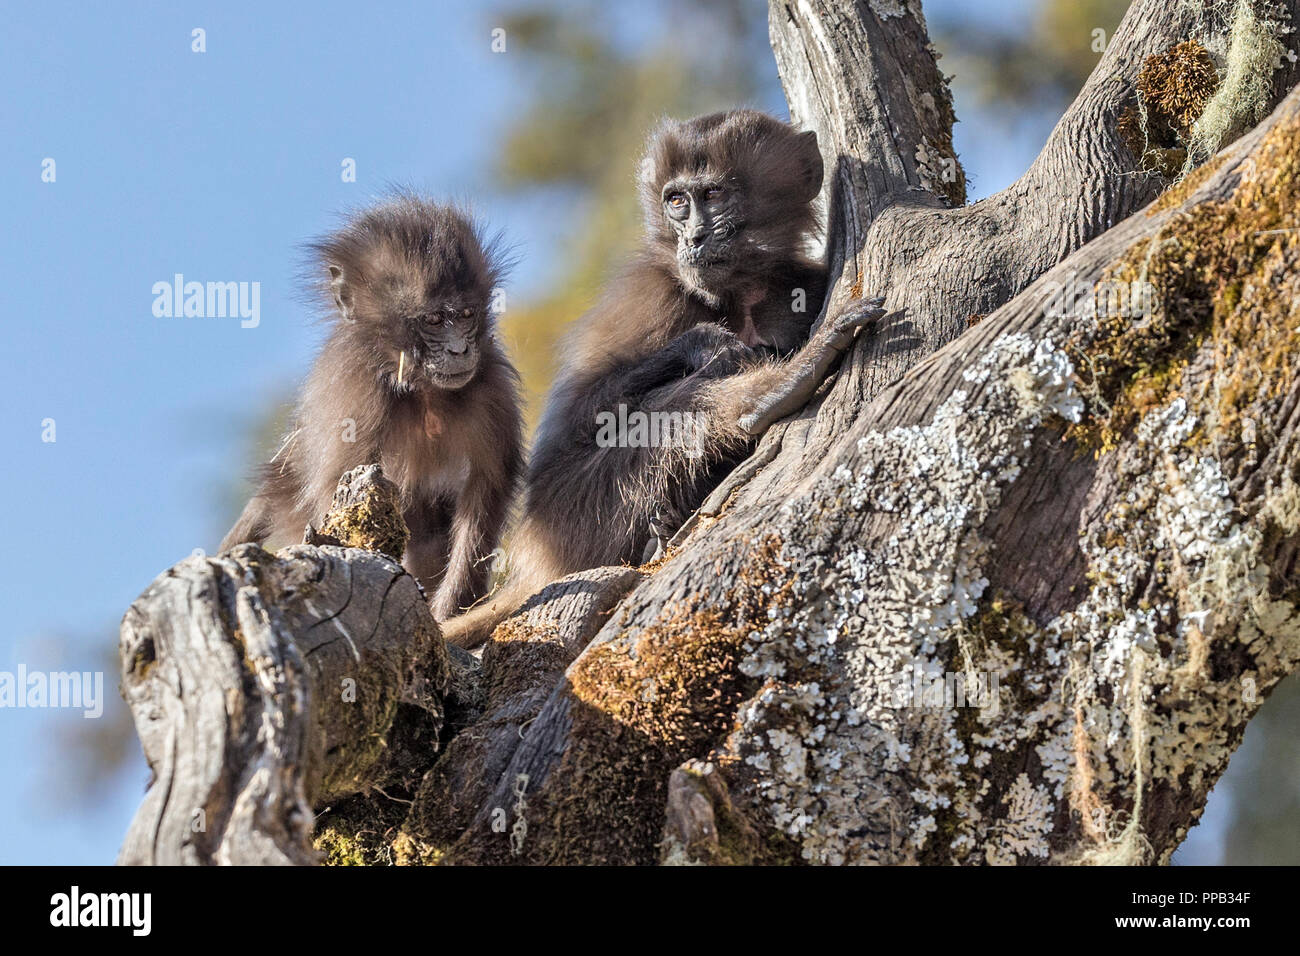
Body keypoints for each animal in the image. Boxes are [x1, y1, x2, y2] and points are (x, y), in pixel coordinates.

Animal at [223, 197, 522, 624]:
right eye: (433, 320)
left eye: (466, 315)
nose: (459, 350)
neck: (423, 391)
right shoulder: (357, 393)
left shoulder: (489, 384)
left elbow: (486, 485)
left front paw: (451, 607)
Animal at [444, 111, 883, 650]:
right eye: (677, 201)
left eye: (712, 195)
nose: (692, 239)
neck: (739, 293)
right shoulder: (653, 293)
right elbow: (580, 421)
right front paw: (707, 346)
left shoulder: (804, 281)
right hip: (567, 519)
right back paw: (769, 393)